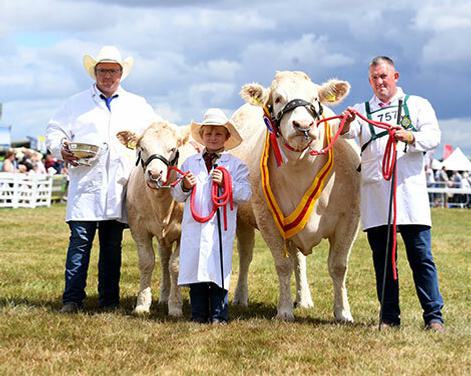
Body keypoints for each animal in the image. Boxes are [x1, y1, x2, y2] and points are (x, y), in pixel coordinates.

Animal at [230, 70, 360, 320]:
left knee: (299, 260)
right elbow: (282, 265)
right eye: (278, 98)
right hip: (242, 218)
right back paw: (240, 297)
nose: (303, 125)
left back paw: (304, 299)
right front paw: (284, 310)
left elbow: (338, 266)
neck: (301, 168)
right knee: (245, 256)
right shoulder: (267, 219)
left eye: (316, 99)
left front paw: (343, 312)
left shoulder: (350, 217)